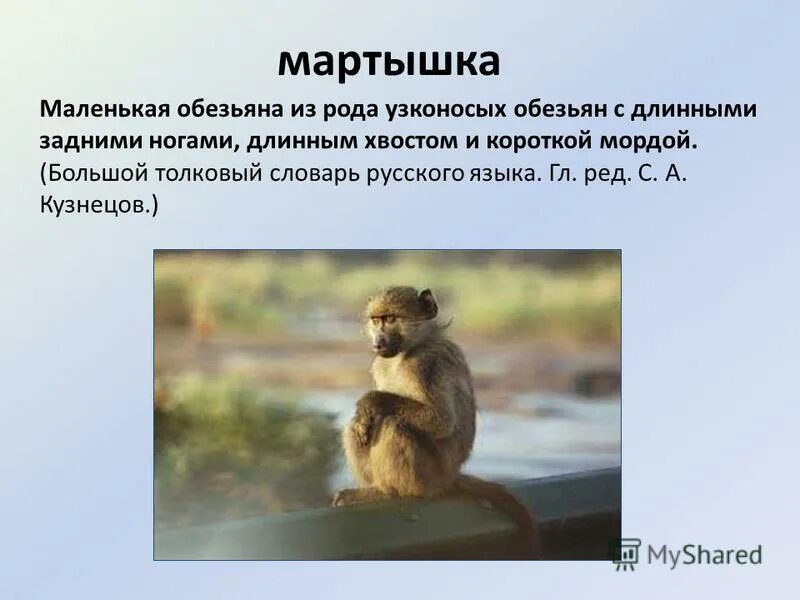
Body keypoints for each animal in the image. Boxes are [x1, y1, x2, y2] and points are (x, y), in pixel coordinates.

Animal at [332, 286, 541, 558]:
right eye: (376, 320)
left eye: (390, 319)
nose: (378, 343)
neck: (409, 349)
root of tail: (451, 476)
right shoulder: (381, 364)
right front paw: (364, 415)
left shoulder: (425, 365)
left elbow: (441, 421)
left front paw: (372, 402)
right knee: (356, 429)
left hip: (430, 476)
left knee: (392, 425)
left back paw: (388, 493)